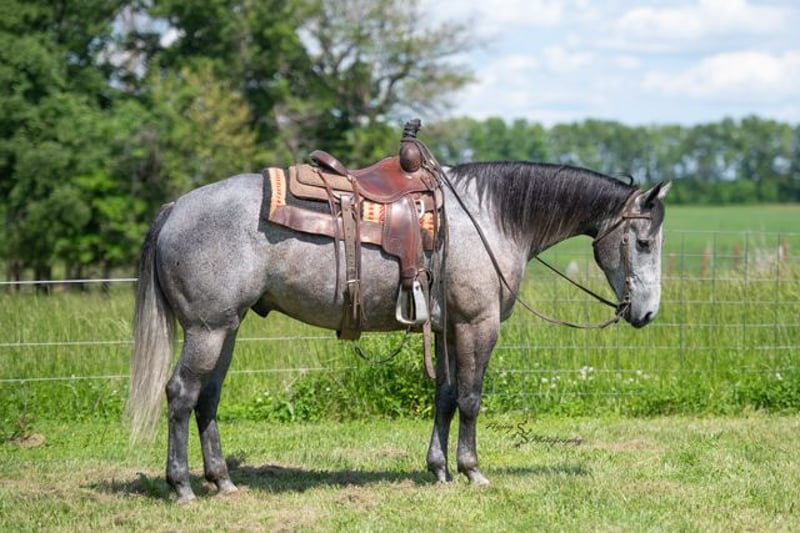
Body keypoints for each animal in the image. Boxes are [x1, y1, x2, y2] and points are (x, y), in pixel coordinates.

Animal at [127, 159, 670, 502]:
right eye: (643, 242)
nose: (646, 313)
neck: (490, 219)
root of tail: (175, 207)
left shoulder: (448, 327)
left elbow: (446, 397)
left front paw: (440, 469)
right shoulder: (477, 324)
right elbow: (471, 398)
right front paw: (472, 471)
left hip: (226, 328)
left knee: (208, 398)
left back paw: (222, 482)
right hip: (207, 329)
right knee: (181, 394)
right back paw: (181, 487)